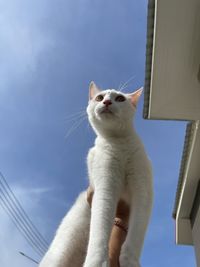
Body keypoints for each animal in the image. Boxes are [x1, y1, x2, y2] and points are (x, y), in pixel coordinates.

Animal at [39, 82, 153, 267]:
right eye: (99, 97)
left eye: (119, 98)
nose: (106, 102)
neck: (119, 143)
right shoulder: (105, 186)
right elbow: (100, 229)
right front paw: (97, 262)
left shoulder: (143, 190)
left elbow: (136, 234)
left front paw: (129, 261)